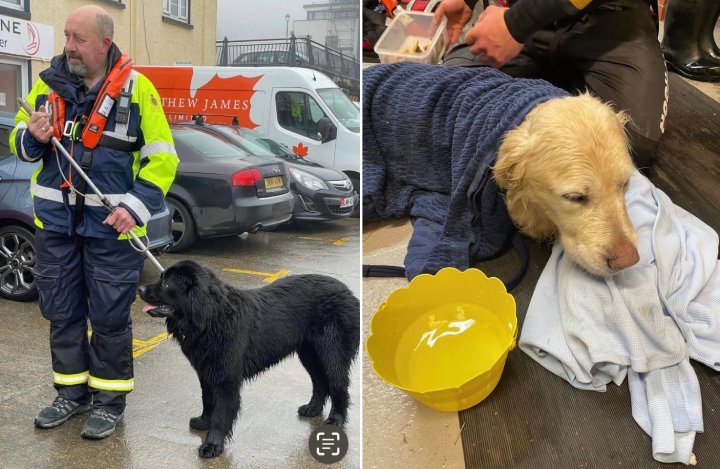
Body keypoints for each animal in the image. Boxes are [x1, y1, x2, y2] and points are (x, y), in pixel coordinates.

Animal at [138, 260, 360, 458]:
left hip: (332, 353)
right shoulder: (206, 371)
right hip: (309, 353)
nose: (139, 289)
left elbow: (221, 412)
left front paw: (212, 445)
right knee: (320, 381)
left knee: (338, 385)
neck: (212, 319)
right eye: (161, 277)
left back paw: (336, 420)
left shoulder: (226, 378)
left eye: (167, 285)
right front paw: (203, 422)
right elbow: (208, 400)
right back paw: (312, 409)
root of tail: (349, 293)